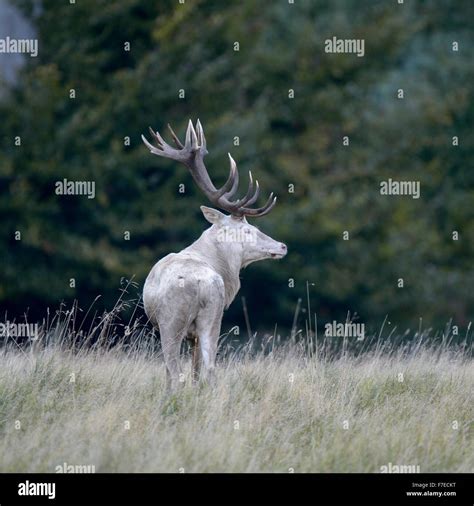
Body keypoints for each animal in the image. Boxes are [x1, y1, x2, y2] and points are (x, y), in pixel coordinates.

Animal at [141, 120, 286, 390]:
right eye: (249, 230)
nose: (282, 246)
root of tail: (201, 284)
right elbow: (197, 368)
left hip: (172, 322)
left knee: (175, 370)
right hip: (211, 318)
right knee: (209, 368)